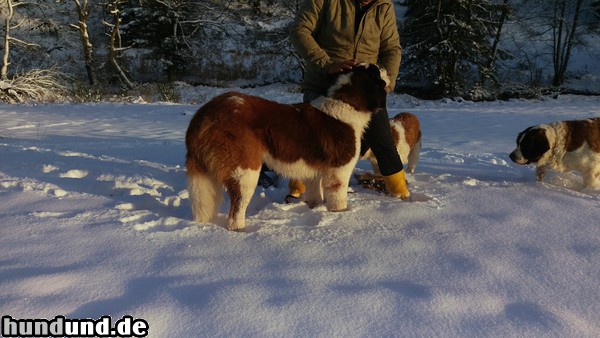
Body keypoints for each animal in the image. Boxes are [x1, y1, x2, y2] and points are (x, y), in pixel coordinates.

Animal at [184, 63, 390, 231]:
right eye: (375, 70)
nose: (384, 67)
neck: (347, 103)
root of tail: (204, 112)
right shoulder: (338, 171)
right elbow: (338, 198)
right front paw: (342, 215)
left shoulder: (315, 171)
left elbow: (315, 194)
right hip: (246, 171)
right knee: (236, 213)